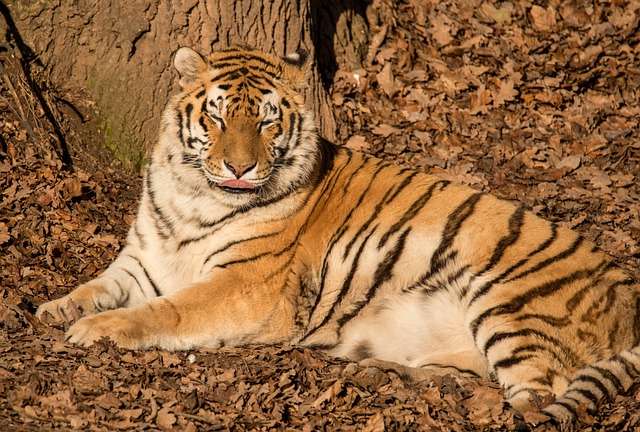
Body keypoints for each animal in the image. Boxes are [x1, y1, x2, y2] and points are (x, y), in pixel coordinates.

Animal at [36, 46, 640, 427]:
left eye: (266, 121)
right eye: (216, 117)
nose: (238, 168)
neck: (194, 196)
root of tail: (629, 293)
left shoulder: (248, 285)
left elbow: (169, 310)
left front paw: (96, 330)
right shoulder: (143, 258)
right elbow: (96, 286)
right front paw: (54, 308)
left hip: (508, 300)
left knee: (538, 395)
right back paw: (388, 369)